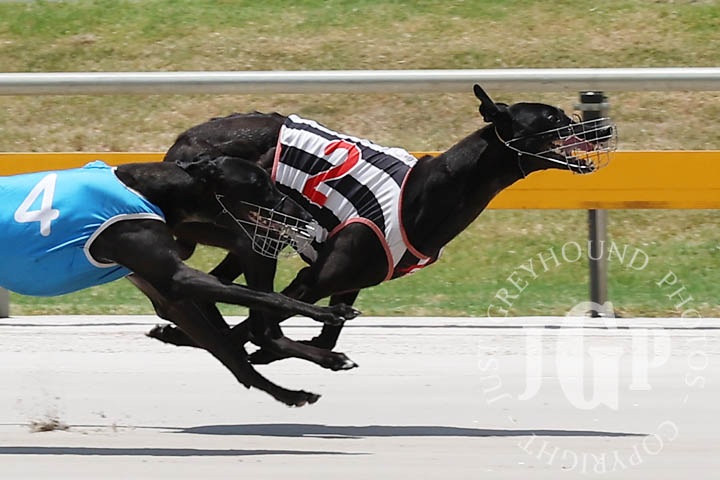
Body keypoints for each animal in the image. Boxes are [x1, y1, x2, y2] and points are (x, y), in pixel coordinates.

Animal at [0, 157, 359, 406]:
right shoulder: (176, 276)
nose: (307, 216)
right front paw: (332, 313)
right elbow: (270, 297)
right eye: (260, 183)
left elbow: (231, 354)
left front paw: (291, 392)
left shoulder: (163, 293)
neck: (154, 190)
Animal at [150, 85, 617, 371]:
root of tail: (185, 143)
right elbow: (264, 323)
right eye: (552, 119)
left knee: (212, 286)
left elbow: (321, 334)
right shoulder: (313, 279)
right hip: (251, 233)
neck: (431, 188)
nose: (607, 127)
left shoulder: (350, 283)